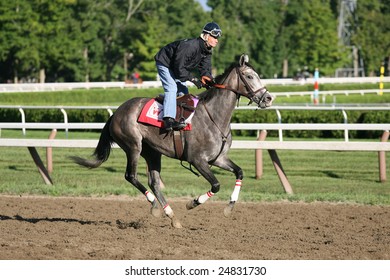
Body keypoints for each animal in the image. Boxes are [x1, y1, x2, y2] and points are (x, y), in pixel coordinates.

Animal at [73, 54, 274, 228]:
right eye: (249, 76)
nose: (268, 98)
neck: (214, 117)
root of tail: (116, 113)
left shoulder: (218, 158)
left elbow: (239, 172)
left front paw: (229, 207)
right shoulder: (197, 160)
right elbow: (216, 185)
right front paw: (193, 202)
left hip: (152, 152)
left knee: (154, 182)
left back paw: (171, 215)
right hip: (133, 146)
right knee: (131, 176)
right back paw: (154, 205)